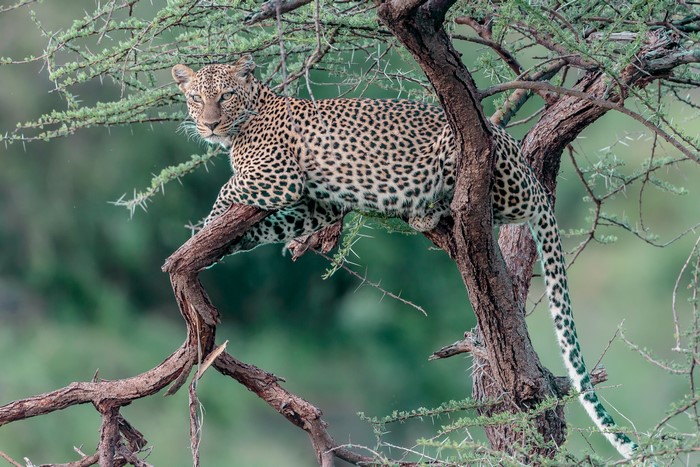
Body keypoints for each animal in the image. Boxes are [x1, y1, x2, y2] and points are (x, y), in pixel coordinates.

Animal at [172, 55, 637, 459]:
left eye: (226, 95)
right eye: (195, 97)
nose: (209, 123)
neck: (249, 115)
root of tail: (529, 173)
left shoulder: (277, 178)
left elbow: (227, 188)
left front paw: (200, 231)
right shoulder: (318, 205)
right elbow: (269, 224)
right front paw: (219, 245)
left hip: (466, 152)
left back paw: (427, 207)